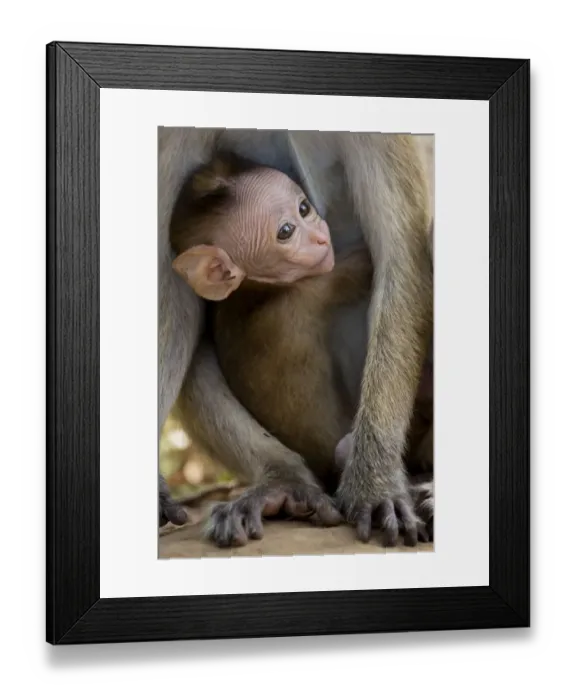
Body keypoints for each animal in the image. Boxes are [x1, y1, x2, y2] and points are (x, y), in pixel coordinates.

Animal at [158, 128, 433, 548]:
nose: (319, 238)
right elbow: (174, 293)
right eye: (285, 231)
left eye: (304, 209)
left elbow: (400, 254)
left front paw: (375, 482)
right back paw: (283, 480)